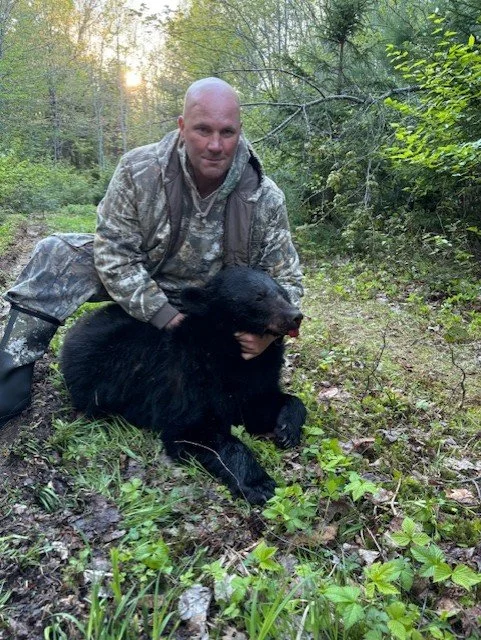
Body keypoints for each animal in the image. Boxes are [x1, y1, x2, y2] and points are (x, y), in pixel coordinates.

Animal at [60, 266, 307, 504]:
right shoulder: (190, 379)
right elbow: (196, 431)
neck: (231, 352)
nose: (296, 316)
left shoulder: (253, 379)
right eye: (259, 297)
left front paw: (287, 429)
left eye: (282, 293)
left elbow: (265, 403)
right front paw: (258, 485)